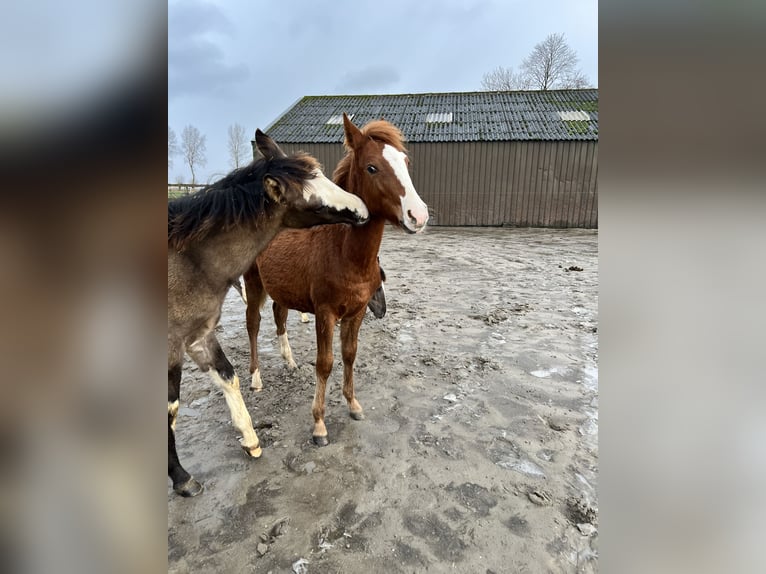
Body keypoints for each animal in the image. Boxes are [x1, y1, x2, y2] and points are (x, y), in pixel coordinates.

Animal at [169, 128, 372, 498]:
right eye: (315, 202)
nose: (363, 209)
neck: (187, 262)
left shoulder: (197, 335)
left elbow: (225, 376)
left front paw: (250, 440)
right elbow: (171, 407)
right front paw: (182, 478)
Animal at [243, 112, 428, 446]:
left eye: (406, 163)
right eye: (372, 167)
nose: (418, 216)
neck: (344, 252)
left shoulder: (357, 312)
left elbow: (350, 355)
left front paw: (353, 404)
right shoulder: (325, 313)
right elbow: (325, 362)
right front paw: (319, 424)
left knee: (279, 315)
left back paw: (289, 361)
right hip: (253, 283)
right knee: (253, 323)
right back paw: (255, 378)